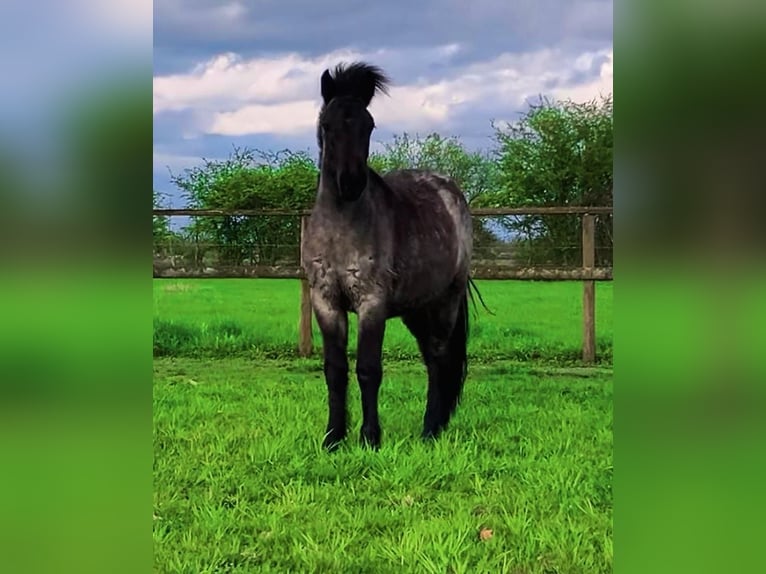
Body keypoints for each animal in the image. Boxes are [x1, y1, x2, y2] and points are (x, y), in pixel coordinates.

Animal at [302, 62, 482, 450]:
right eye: (328, 125)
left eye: (368, 125)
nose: (351, 183)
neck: (341, 227)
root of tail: (450, 191)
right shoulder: (326, 301)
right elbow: (335, 371)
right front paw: (333, 439)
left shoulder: (372, 303)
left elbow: (368, 369)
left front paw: (370, 438)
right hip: (416, 308)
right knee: (431, 358)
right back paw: (435, 426)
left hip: (445, 301)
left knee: (440, 358)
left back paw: (430, 431)